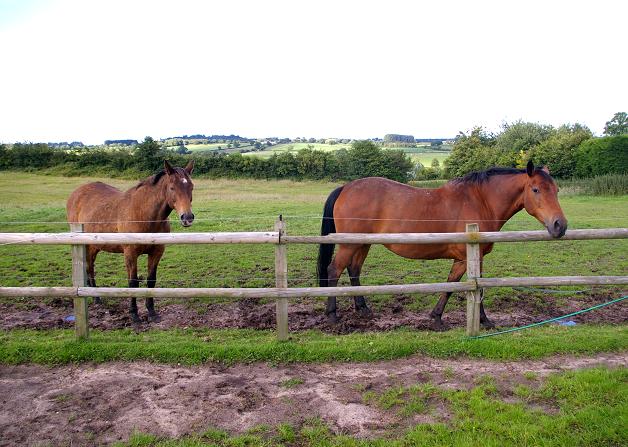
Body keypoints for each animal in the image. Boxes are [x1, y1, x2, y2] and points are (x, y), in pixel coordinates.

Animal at [66, 161, 194, 322]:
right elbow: (133, 282)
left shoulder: (157, 252)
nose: (187, 217)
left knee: (90, 267)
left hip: (95, 246)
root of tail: (76, 193)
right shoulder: (130, 254)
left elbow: (151, 280)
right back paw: (96, 298)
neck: (143, 215)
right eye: (172, 187)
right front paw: (134, 314)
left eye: (191, 187)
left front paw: (152, 312)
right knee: (90, 268)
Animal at [316, 160, 568, 328]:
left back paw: (363, 309)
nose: (560, 225)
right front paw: (457, 320)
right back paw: (332, 315)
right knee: (334, 270)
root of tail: (346, 187)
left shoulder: (471, 258)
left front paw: (448, 317)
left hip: (362, 244)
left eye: (556, 190)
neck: (481, 200)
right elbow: (461, 285)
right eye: (535, 189)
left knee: (354, 270)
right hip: (349, 245)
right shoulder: (467, 258)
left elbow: (465, 285)